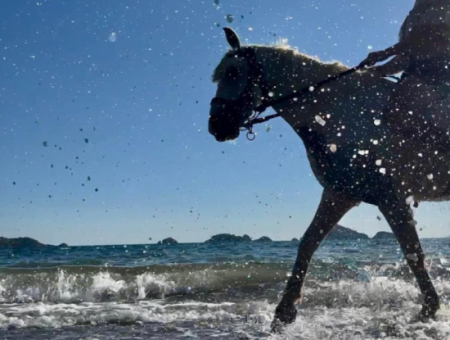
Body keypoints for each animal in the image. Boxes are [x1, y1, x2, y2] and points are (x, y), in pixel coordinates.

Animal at [208, 27, 446, 330]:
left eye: (233, 72)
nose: (216, 125)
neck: (341, 113)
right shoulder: (339, 194)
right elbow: (308, 242)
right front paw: (284, 312)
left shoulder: (390, 197)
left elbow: (413, 253)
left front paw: (429, 308)